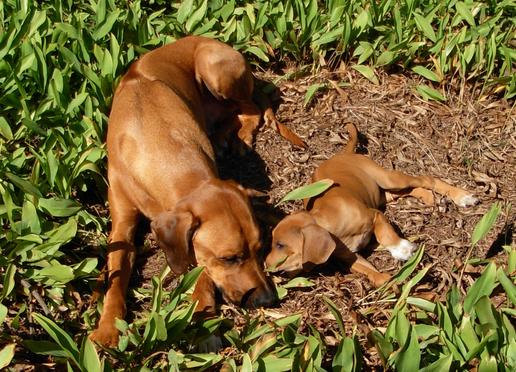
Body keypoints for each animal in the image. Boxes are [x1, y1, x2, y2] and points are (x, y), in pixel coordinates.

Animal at [91, 36, 278, 348]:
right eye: (230, 258)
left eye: (260, 247)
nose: (267, 299)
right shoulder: (121, 224)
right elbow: (116, 275)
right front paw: (108, 326)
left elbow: (200, 270)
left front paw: (202, 318)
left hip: (215, 70)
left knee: (250, 105)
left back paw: (239, 135)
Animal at [268, 123, 478, 286]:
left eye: (280, 245)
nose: (266, 266)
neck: (330, 223)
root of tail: (341, 154)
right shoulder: (350, 256)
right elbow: (369, 270)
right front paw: (387, 281)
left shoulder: (375, 215)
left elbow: (387, 235)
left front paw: (403, 249)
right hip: (386, 192)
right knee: (413, 189)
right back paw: (430, 199)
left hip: (388, 178)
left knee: (427, 179)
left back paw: (463, 197)